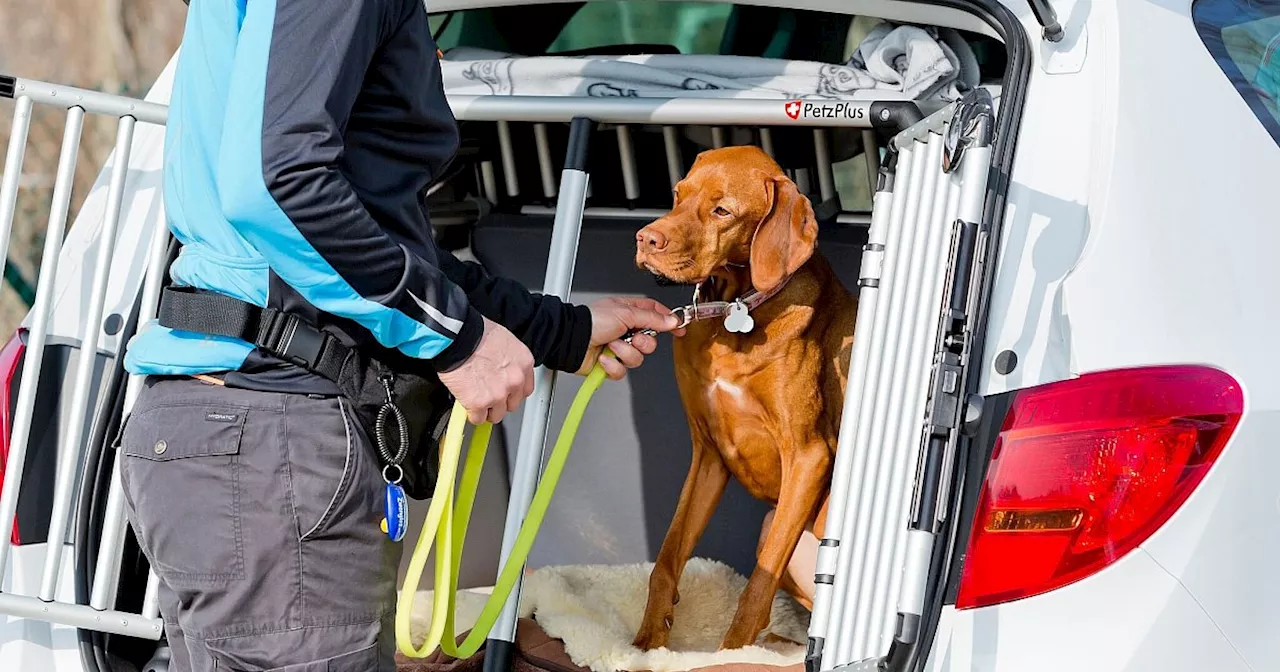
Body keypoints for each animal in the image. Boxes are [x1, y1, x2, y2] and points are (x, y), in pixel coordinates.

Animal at [632, 142, 855, 650]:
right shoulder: (708, 453)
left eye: (722, 211)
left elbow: (756, 587)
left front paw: (726, 654)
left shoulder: (808, 455)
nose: (644, 239)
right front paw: (645, 643)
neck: (736, 310)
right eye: (678, 194)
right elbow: (667, 558)